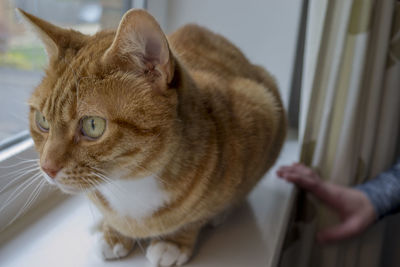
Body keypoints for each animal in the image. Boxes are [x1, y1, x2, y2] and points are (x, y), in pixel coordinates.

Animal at [20, 7, 286, 266]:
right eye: (42, 121)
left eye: (93, 125)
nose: (47, 168)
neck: (132, 184)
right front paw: (112, 232)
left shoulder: (261, 108)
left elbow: (196, 216)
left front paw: (175, 241)